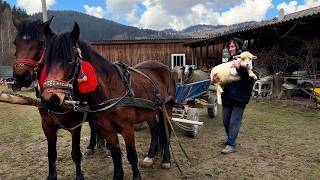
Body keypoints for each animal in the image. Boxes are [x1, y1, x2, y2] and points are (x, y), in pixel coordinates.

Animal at [40, 22, 175, 180]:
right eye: (46, 61)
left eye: (70, 59)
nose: (50, 99)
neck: (109, 89)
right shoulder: (107, 130)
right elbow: (116, 155)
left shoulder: (127, 128)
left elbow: (131, 156)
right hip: (149, 112)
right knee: (155, 129)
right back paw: (150, 156)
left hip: (167, 108)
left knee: (166, 131)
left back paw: (166, 160)